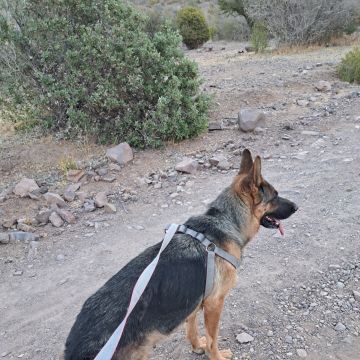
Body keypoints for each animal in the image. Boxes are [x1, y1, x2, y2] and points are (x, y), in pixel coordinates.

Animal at [65, 148, 298, 358]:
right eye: (276, 196)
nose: (297, 206)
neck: (224, 221)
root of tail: (74, 345)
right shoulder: (214, 304)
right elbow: (213, 340)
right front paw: (216, 355)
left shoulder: (195, 302)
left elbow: (191, 328)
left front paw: (197, 346)